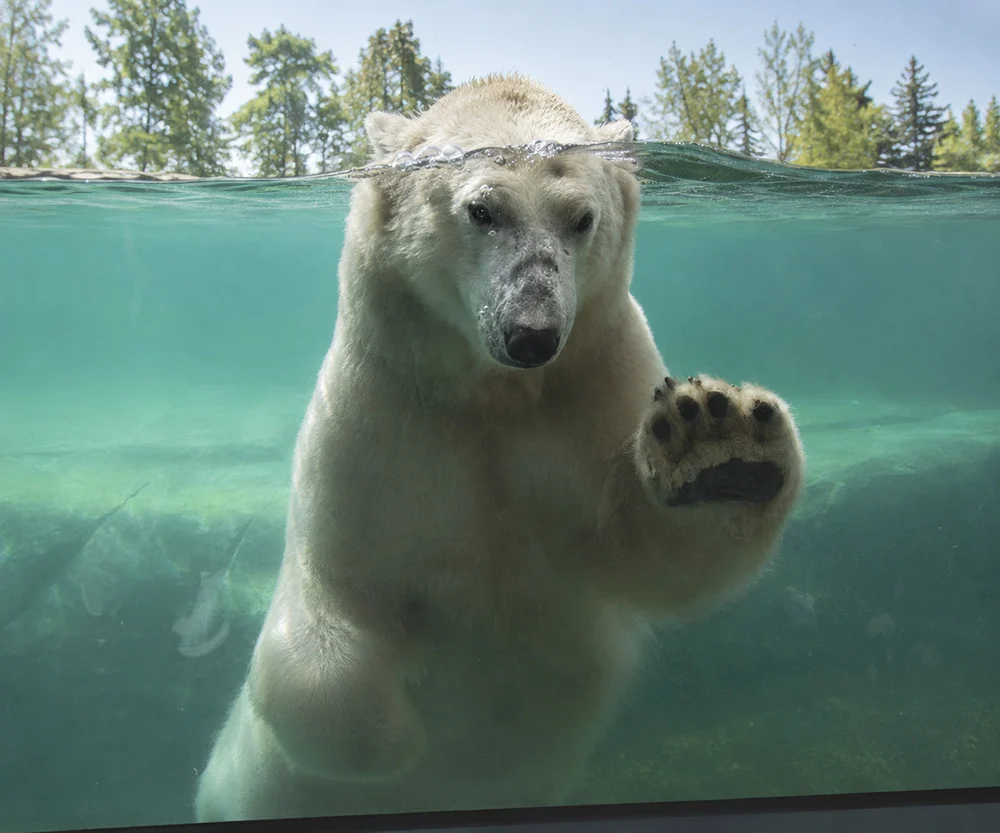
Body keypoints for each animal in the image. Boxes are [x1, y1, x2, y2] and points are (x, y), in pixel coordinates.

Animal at [194, 74, 805, 822]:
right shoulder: (380, 420)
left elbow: (650, 556)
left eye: (582, 218)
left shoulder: (592, 387)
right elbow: (321, 622)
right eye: (482, 209)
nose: (533, 332)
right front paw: (398, 737)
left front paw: (719, 444)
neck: (496, 397)